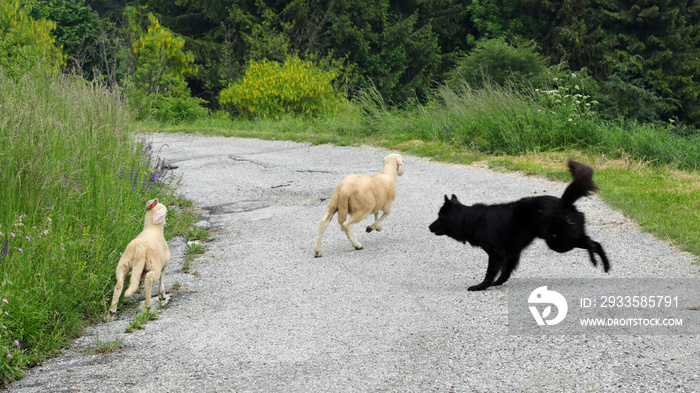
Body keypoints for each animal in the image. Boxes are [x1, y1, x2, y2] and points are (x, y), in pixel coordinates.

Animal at [426, 159, 608, 290]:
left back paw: (599, 262)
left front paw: (481, 286)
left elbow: (490, 272)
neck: (471, 220)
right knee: (593, 241)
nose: (429, 226)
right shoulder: (512, 253)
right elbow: (505, 272)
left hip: (558, 242)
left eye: (439, 217)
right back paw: (604, 265)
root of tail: (564, 202)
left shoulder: (496, 253)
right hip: (562, 239)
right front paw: (497, 283)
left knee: (591, 242)